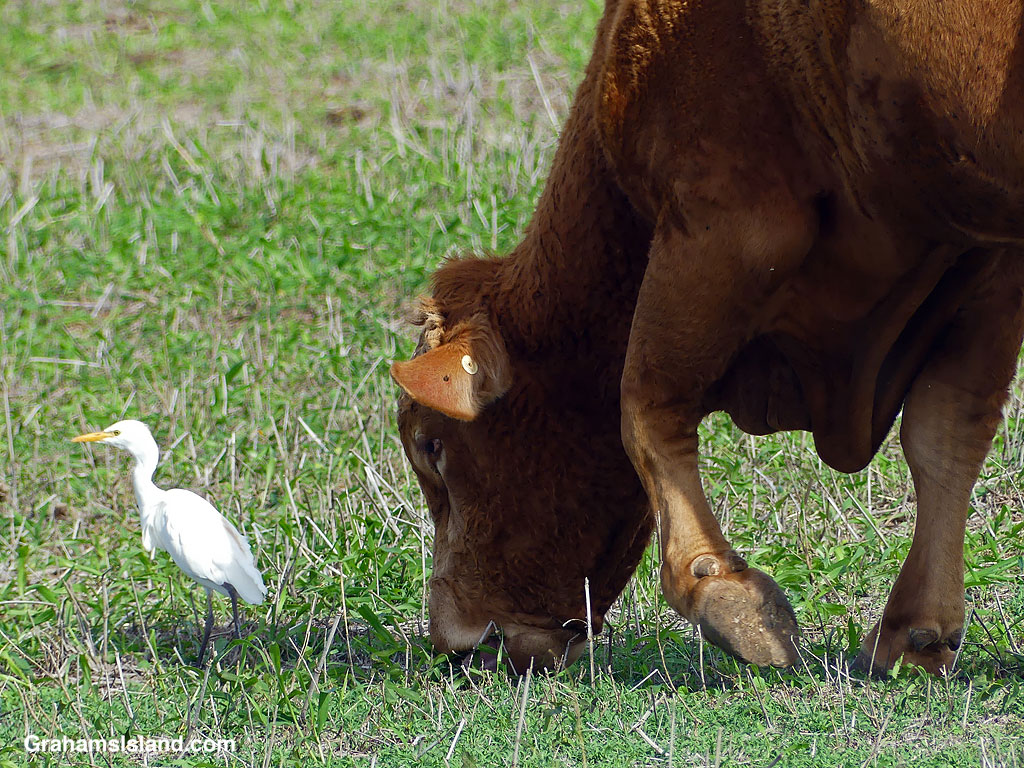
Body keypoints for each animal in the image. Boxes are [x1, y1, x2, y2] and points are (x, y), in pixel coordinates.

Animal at [390, 0, 1024, 677]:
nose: (455, 642)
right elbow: (946, 434)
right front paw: (917, 631)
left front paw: (722, 592)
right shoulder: (984, 259)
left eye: (430, 446)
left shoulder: (725, 218)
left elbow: (645, 405)